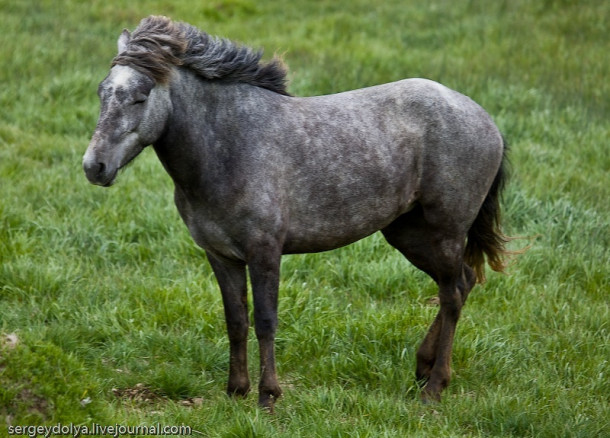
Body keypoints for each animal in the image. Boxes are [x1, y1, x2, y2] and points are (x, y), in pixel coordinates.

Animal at [83, 16, 510, 410]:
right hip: (408, 234)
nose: (94, 167)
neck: (229, 146)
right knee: (461, 283)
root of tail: (485, 118)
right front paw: (236, 391)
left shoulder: (265, 253)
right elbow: (235, 321)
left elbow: (265, 321)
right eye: (103, 92)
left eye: (140, 97)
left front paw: (268, 396)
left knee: (452, 294)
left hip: (446, 231)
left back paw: (434, 387)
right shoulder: (220, 256)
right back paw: (423, 368)